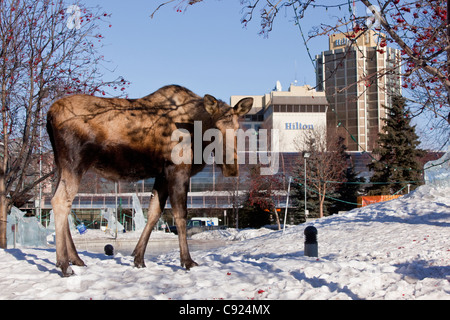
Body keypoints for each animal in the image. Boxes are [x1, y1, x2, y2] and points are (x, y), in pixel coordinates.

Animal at [45, 85, 253, 278]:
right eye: (215, 129)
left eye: (237, 128)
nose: (231, 168)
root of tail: (49, 113)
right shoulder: (177, 169)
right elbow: (180, 215)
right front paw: (187, 261)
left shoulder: (161, 174)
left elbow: (153, 213)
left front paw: (138, 258)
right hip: (75, 162)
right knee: (60, 201)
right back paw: (64, 264)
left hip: (61, 165)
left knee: (62, 203)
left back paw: (75, 259)